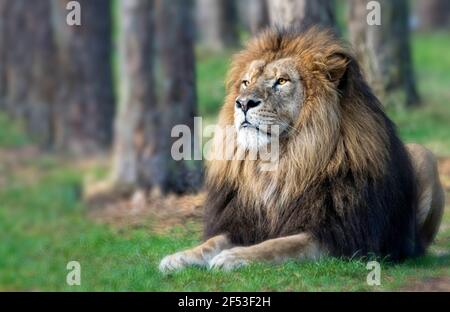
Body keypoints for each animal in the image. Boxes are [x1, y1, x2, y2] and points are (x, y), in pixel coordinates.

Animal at [158, 28, 442, 272]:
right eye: (246, 82)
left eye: (282, 81)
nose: (243, 103)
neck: (278, 163)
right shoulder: (244, 224)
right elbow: (212, 242)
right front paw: (178, 257)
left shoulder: (336, 236)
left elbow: (278, 245)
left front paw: (234, 256)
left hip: (424, 155)